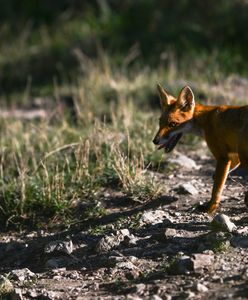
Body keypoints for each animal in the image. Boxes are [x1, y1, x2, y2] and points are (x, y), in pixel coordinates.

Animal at [153, 84, 248, 214]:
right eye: (160, 122)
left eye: (172, 124)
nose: (155, 141)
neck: (205, 119)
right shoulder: (232, 154)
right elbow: (221, 175)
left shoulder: (223, 157)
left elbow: (216, 190)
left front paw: (210, 208)